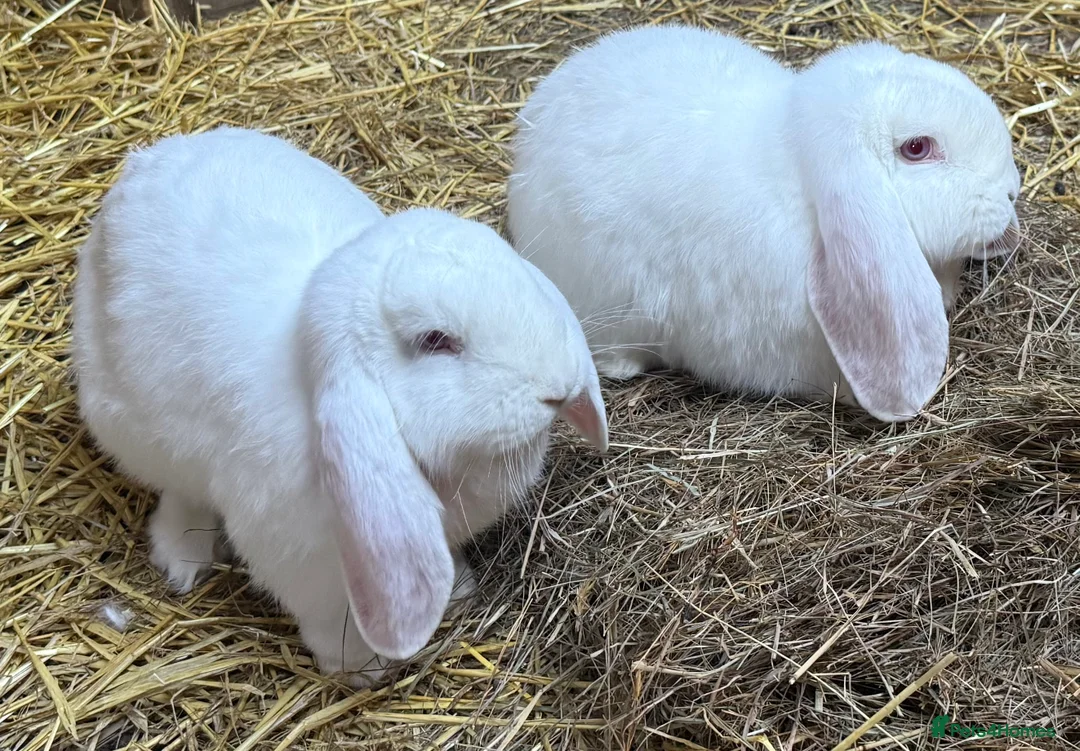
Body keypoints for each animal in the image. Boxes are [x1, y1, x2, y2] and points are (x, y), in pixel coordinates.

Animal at [72, 127, 608, 685]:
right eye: (436, 341)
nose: (558, 386)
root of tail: (144, 163)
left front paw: (459, 587)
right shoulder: (304, 562)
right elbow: (330, 618)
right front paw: (360, 668)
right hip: (126, 426)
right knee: (179, 494)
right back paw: (183, 558)